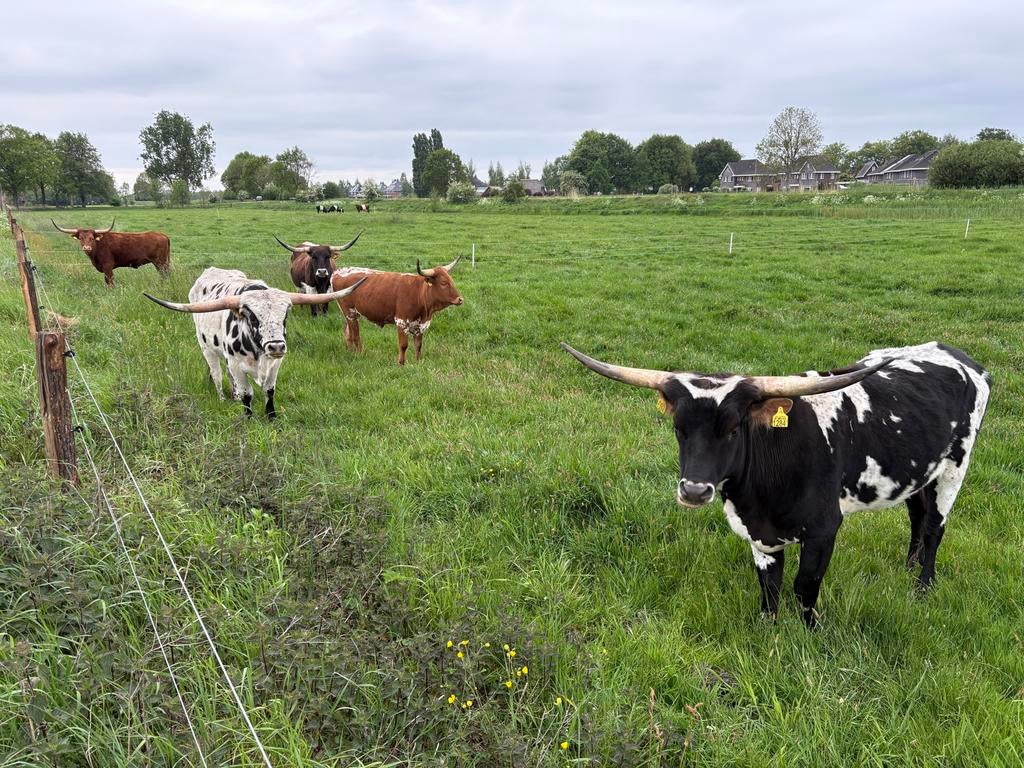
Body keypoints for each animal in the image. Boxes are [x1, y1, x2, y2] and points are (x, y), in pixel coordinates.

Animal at [144, 268, 365, 418]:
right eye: (252, 316)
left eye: (285, 314)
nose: (276, 346)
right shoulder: (236, 364)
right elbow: (247, 393)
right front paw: (248, 417)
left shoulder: (275, 364)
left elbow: (269, 390)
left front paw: (271, 417)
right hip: (206, 348)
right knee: (216, 375)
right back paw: (223, 398)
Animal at [330, 256, 463, 365]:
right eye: (443, 283)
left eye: (451, 280)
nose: (460, 299)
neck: (419, 293)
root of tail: (339, 272)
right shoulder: (401, 322)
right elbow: (403, 345)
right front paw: (401, 363)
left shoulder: (419, 326)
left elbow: (418, 345)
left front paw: (418, 362)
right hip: (350, 313)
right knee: (355, 335)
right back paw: (360, 355)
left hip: (349, 315)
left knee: (348, 333)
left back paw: (350, 351)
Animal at [561, 342, 991, 628]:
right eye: (679, 428)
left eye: (734, 429)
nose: (695, 491)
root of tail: (959, 355)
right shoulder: (760, 533)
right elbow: (769, 587)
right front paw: (767, 633)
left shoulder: (823, 530)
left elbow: (804, 585)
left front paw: (810, 632)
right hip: (921, 473)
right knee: (916, 515)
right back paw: (908, 567)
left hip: (954, 469)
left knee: (934, 527)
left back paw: (922, 586)